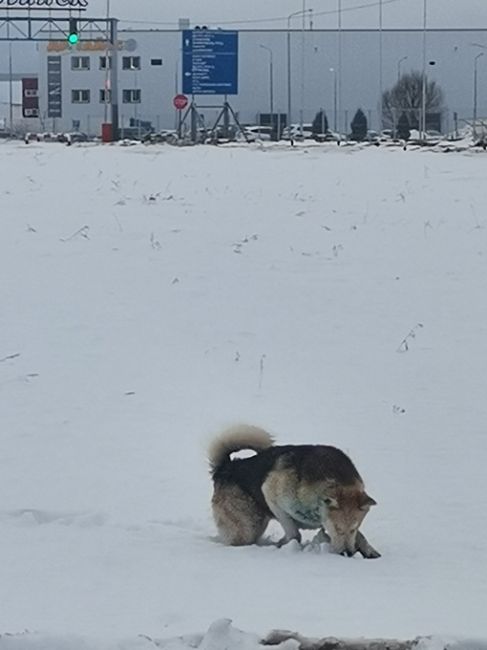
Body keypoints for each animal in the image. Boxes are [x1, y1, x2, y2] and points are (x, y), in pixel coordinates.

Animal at [210, 426, 382, 556]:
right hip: (248, 528)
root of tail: (226, 467)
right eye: (337, 529)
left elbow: (361, 536)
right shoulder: (272, 496)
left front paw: (369, 551)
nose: (347, 553)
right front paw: (283, 545)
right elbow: (294, 533)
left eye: (353, 529)